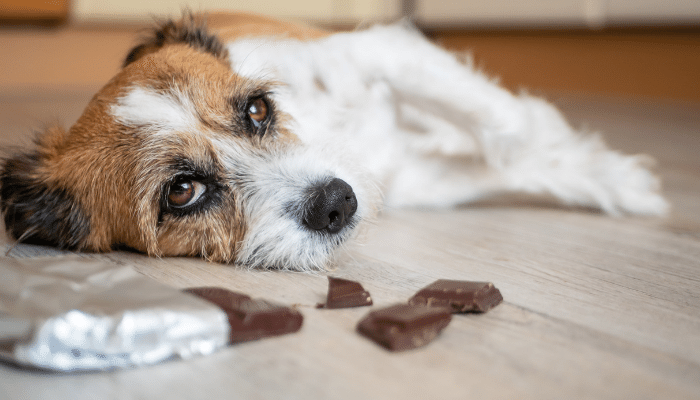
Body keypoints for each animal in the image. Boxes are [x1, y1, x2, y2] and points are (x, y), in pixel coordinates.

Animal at [0, 12, 668, 270]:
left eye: (258, 109)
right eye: (181, 192)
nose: (337, 202)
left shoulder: (382, 51)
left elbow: (507, 128)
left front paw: (613, 176)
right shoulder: (418, 181)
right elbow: (504, 160)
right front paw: (608, 176)